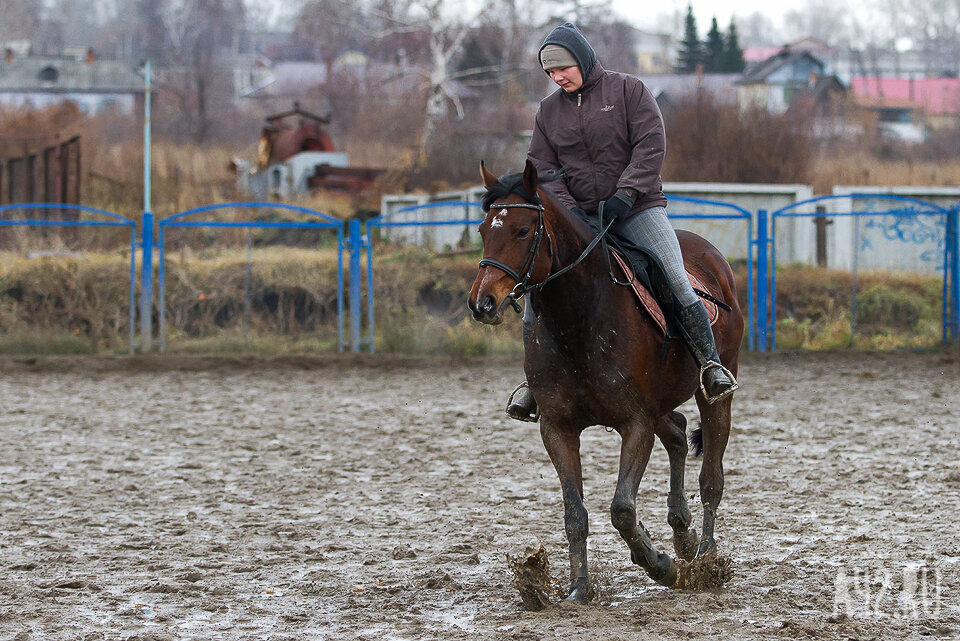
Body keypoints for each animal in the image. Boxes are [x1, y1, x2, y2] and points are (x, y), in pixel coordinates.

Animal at [468, 160, 748, 600]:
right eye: (483, 230)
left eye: (522, 230)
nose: (482, 303)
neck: (579, 320)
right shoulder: (558, 429)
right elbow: (575, 514)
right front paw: (578, 589)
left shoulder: (635, 424)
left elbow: (622, 509)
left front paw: (660, 565)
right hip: (660, 405)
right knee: (677, 433)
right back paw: (682, 534)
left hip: (714, 395)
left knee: (711, 478)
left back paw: (704, 559)